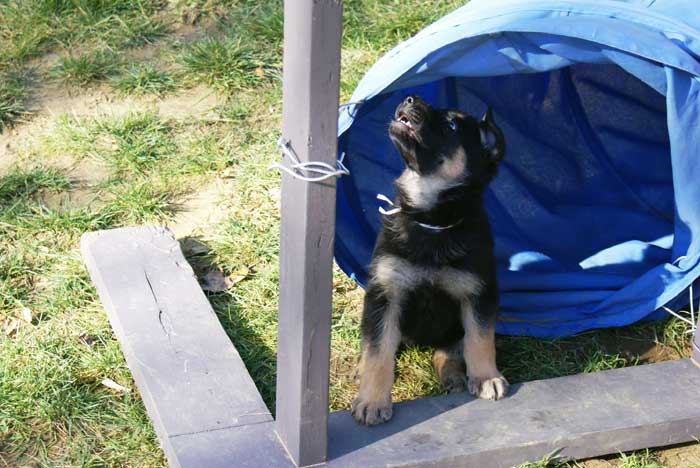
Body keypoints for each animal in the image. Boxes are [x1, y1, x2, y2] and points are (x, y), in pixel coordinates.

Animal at [352, 94, 506, 424]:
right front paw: (371, 401)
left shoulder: (479, 293)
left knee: (449, 348)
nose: (409, 98)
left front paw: (487, 377)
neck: (431, 221)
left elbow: (480, 338)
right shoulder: (385, 292)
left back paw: (452, 374)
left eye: (452, 125)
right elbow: (378, 351)